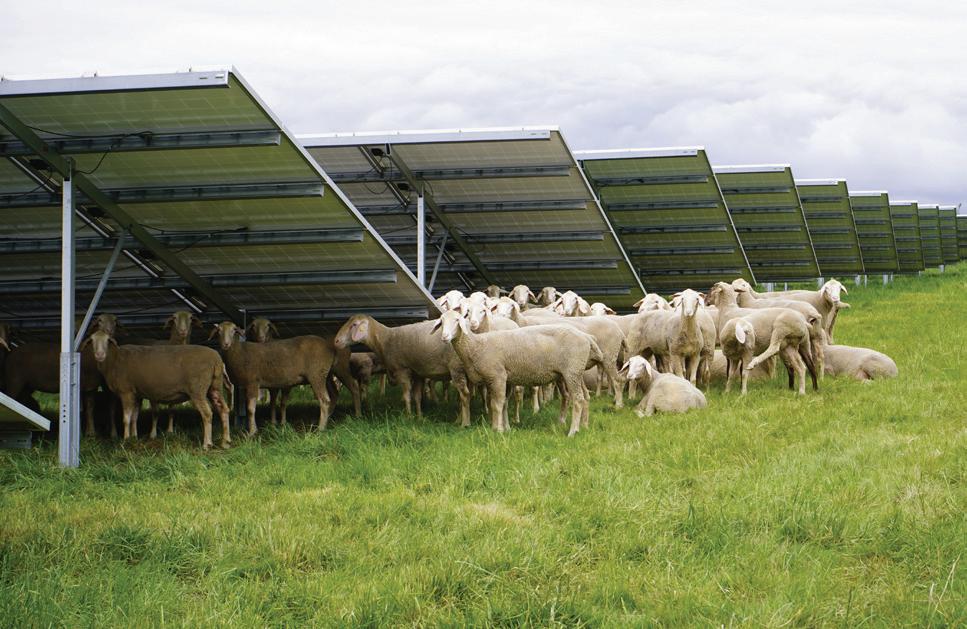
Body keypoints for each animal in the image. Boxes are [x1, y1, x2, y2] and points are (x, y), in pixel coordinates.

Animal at [84, 330, 231, 449]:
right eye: (92, 340)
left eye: (107, 341)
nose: (99, 355)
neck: (113, 361)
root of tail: (217, 360)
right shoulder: (137, 394)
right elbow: (134, 417)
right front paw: (134, 437)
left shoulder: (126, 392)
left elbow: (126, 418)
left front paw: (125, 440)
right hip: (214, 387)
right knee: (223, 409)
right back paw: (225, 442)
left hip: (197, 389)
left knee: (207, 414)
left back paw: (207, 444)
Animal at [334, 315, 472, 425]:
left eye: (354, 325)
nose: (336, 341)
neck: (385, 339)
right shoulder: (417, 373)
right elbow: (417, 397)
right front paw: (420, 417)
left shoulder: (403, 371)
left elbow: (407, 396)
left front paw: (409, 417)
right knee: (465, 395)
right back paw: (460, 418)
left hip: (456, 367)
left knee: (464, 394)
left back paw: (463, 422)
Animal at [433, 309, 602, 436]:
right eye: (441, 321)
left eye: (457, 320)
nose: (444, 337)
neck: (476, 345)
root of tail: (586, 337)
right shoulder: (506, 379)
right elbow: (504, 403)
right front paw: (506, 428)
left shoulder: (497, 376)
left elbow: (496, 404)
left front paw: (497, 430)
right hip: (576, 371)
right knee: (584, 396)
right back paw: (584, 425)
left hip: (571, 371)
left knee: (578, 399)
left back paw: (573, 431)